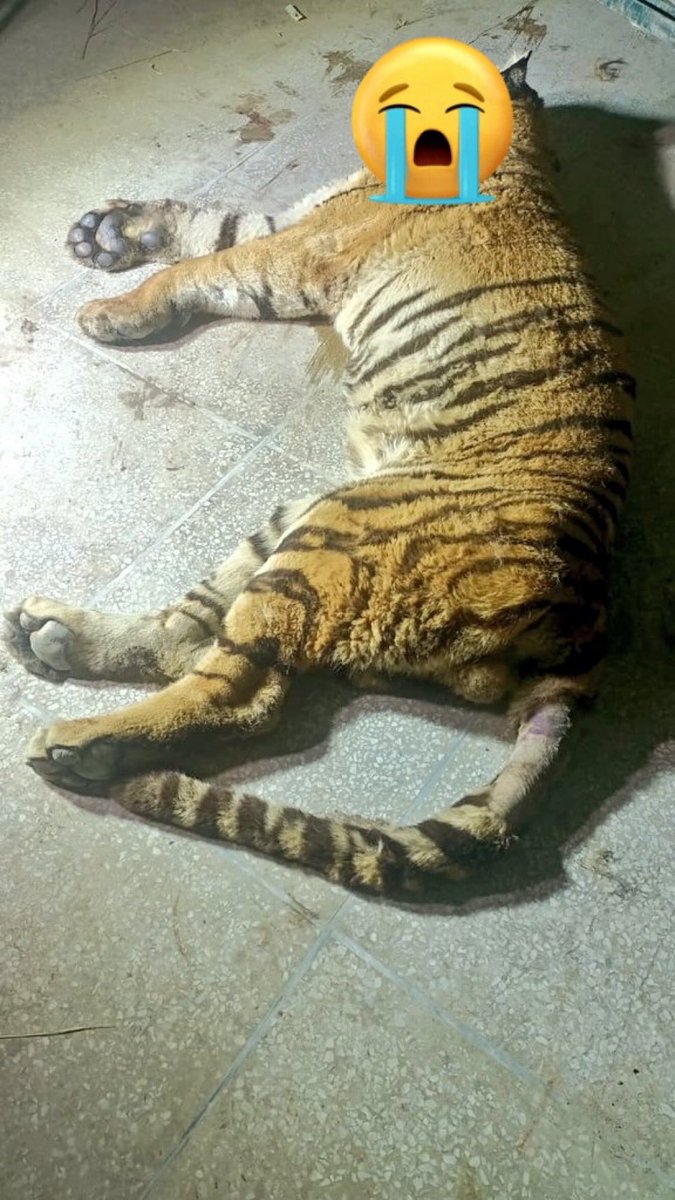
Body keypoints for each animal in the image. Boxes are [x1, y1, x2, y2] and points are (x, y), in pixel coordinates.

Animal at [3, 55, 634, 898]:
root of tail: (588, 605)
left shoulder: (299, 250)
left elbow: (201, 262)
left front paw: (111, 307)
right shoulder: (292, 223)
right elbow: (210, 223)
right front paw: (107, 232)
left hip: (332, 542)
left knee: (242, 693)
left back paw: (81, 743)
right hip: (305, 513)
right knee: (184, 637)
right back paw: (54, 639)